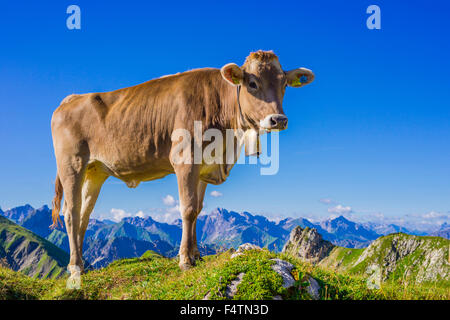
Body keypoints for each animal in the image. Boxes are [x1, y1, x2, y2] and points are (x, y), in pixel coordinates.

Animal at [51, 50, 312, 276]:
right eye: (252, 83)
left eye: (284, 84)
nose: (278, 119)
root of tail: (71, 99)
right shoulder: (186, 159)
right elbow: (187, 209)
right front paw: (185, 260)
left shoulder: (205, 165)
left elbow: (197, 209)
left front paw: (196, 256)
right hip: (71, 165)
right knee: (71, 212)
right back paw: (75, 267)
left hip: (95, 171)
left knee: (84, 214)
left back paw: (80, 264)